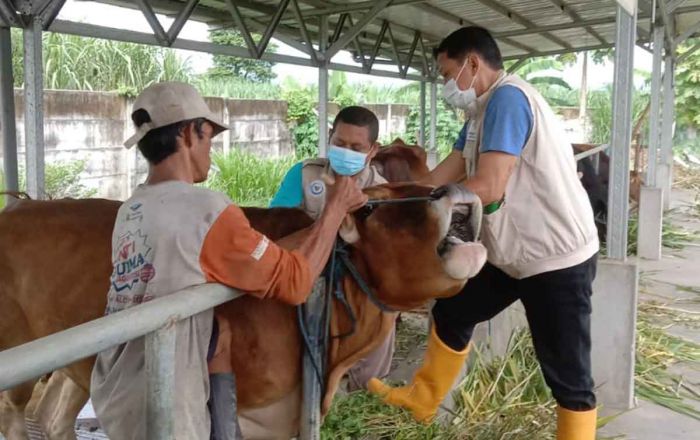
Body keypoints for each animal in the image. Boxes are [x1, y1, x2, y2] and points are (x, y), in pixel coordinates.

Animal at [0, 183, 484, 440]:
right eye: (369, 205)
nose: (449, 188)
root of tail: (21, 203)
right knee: (14, 413)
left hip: (76, 361)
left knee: (53, 417)